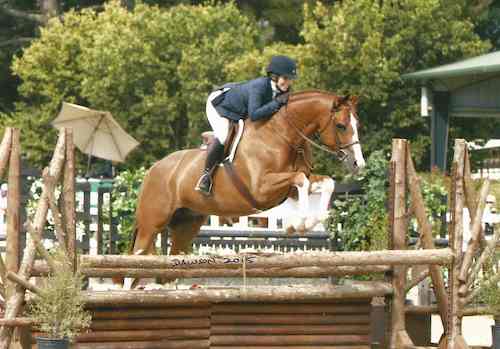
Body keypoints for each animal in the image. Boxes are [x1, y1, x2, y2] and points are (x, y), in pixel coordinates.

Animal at [125, 89, 366, 286]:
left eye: (358, 125)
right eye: (341, 126)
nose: (358, 164)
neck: (283, 136)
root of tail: (153, 169)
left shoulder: (288, 190)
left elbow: (325, 182)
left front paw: (312, 221)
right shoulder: (261, 189)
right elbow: (300, 179)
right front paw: (299, 224)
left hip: (186, 225)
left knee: (170, 266)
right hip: (151, 225)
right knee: (134, 264)